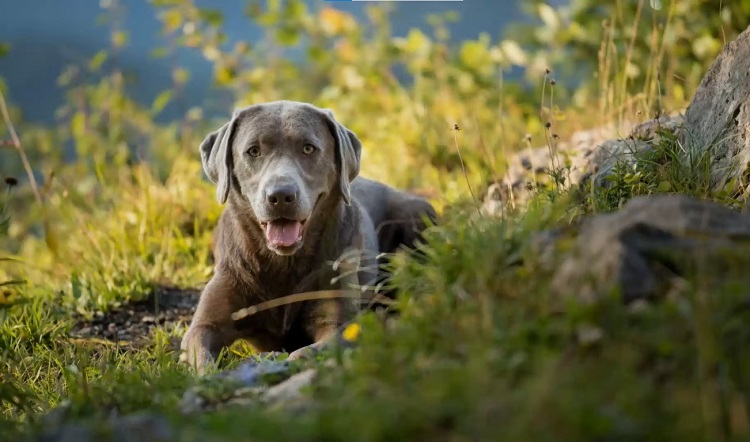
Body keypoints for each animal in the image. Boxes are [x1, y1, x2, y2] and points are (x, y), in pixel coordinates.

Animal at [182, 100, 438, 372]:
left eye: (308, 148)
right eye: (253, 151)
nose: (280, 196)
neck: (283, 264)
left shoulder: (337, 323)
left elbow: (310, 351)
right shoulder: (206, 323)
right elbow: (202, 356)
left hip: (416, 211)